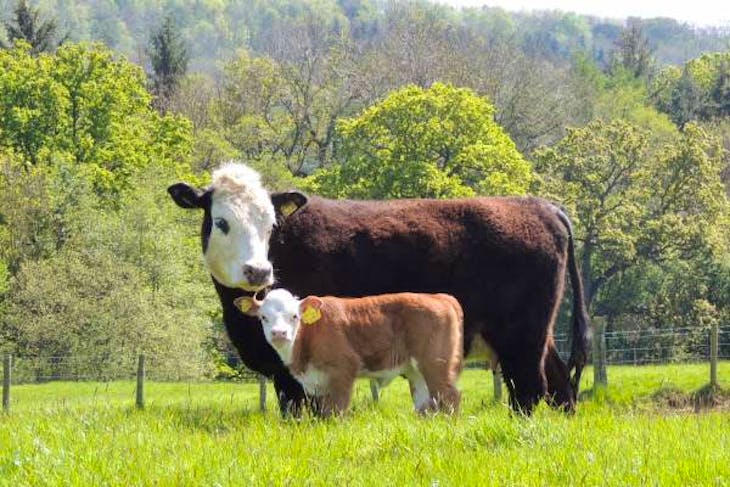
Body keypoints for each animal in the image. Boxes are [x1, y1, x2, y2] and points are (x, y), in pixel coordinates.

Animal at [236, 288, 464, 418]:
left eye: (294, 316)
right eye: (264, 317)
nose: (279, 333)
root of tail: (439, 297)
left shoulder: (342, 370)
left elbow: (337, 411)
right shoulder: (318, 383)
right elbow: (323, 412)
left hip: (435, 363)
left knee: (449, 396)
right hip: (416, 370)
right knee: (426, 403)